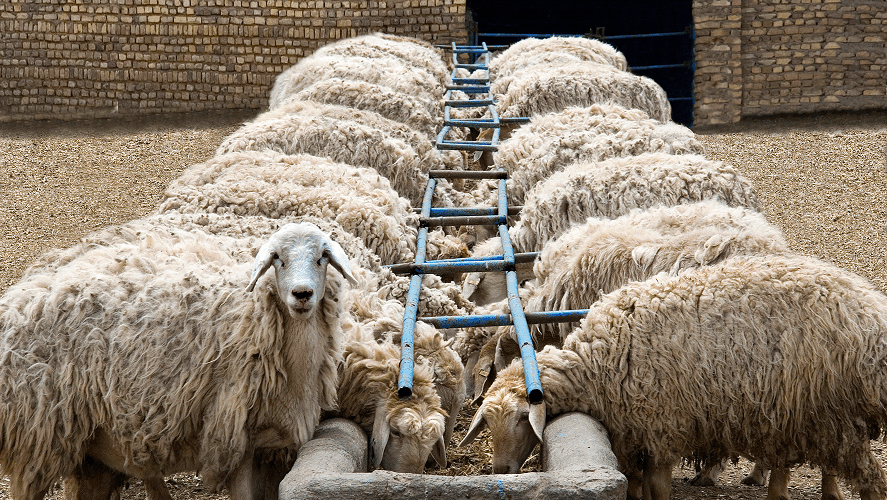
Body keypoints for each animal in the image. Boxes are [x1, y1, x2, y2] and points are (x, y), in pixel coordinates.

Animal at [0, 221, 357, 499]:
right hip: (39, 434)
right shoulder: (234, 441)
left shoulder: (273, 450)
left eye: (322, 258)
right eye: (278, 259)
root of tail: (17, 296)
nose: (302, 294)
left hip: (91, 449)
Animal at [459, 253, 887, 500]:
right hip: (807, 414)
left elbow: (658, 487)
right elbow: (635, 486)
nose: (500, 472)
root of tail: (870, 312)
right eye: (488, 423)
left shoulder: (662, 427)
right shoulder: (631, 434)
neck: (598, 362)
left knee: (869, 479)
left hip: (829, 410)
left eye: (521, 418)